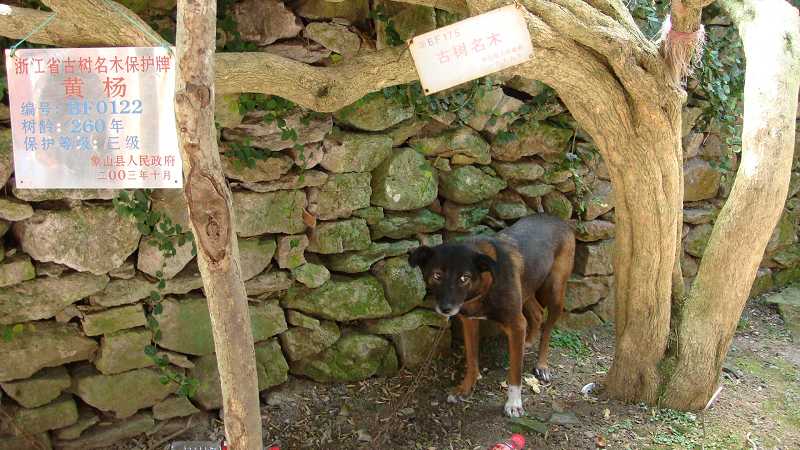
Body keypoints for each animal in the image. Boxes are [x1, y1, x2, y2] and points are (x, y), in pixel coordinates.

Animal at [410, 214, 572, 418]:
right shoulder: (470, 322)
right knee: (536, 313)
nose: (446, 309)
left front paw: (514, 403)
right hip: (526, 289)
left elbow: (515, 372)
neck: (485, 285)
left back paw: (542, 365)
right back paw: (527, 341)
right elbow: (472, 360)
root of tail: (556, 218)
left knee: (547, 327)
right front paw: (465, 388)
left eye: (464, 278)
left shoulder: (515, 323)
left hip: (555, 291)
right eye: (437, 275)